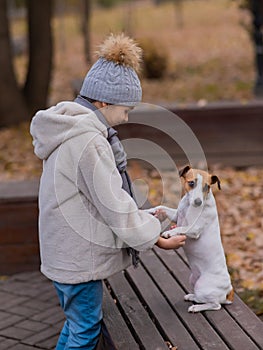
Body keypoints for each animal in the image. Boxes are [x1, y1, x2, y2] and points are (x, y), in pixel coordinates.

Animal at [150, 165, 234, 314]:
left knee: (215, 305)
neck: (189, 205)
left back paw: (196, 307)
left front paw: (169, 233)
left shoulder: (194, 229)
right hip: (193, 280)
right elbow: (162, 207)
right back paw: (192, 296)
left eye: (207, 187)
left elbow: (180, 228)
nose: (198, 202)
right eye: (191, 183)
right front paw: (150, 210)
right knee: (202, 298)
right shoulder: (176, 215)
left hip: (203, 286)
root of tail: (228, 291)